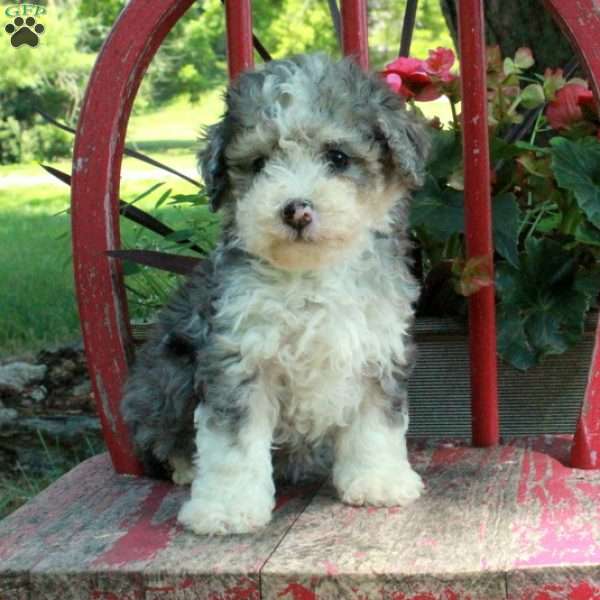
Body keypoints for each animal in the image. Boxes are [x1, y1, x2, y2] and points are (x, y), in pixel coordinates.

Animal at [123, 52, 432, 536]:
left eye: (338, 156)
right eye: (259, 163)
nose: (296, 210)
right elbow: (232, 444)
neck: (310, 275)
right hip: (164, 375)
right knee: (160, 435)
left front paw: (378, 481)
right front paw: (226, 508)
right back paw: (186, 467)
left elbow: (376, 424)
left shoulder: (377, 349)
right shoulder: (237, 357)